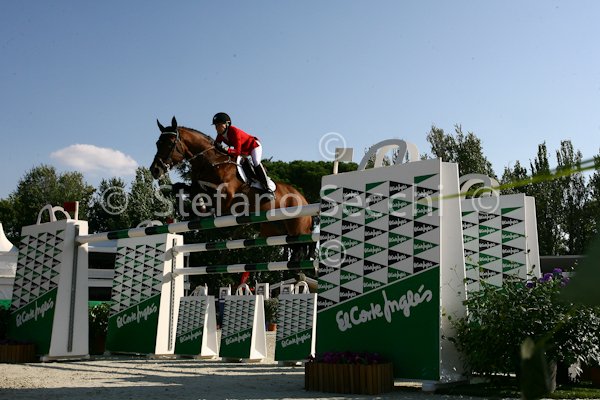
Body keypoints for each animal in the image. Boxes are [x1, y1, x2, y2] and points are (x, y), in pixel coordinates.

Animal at [150, 115, 316, 260]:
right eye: (157, 143)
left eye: (170, 143)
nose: (155, 170)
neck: (210, 162)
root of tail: (304, 199)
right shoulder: (199, 187)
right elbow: (187, 189)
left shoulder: (226, 196)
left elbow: (210, 201)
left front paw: (203, 209)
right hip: (277, 229)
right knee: (296, 248)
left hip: (298, 228)